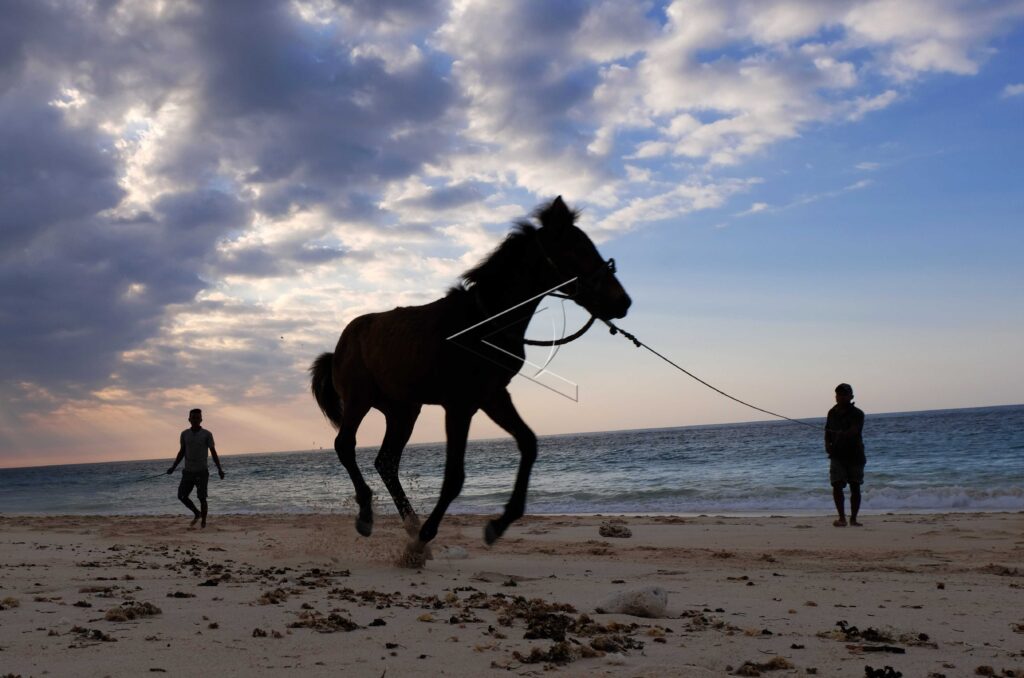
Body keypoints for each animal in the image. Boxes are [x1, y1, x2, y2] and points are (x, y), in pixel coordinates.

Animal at [310, 196, 631, 562]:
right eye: (577, 248)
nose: (623, 301)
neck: (485, 322)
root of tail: (337, 348)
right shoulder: (460, 405)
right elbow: (454, 477)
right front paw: (424, 539)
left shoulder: (492, 396)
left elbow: (529, 444)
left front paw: (499, 524)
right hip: (359, 399)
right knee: (345, 445)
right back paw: (369, 517)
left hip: (404, 410)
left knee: (386, 462)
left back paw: (410, 525)